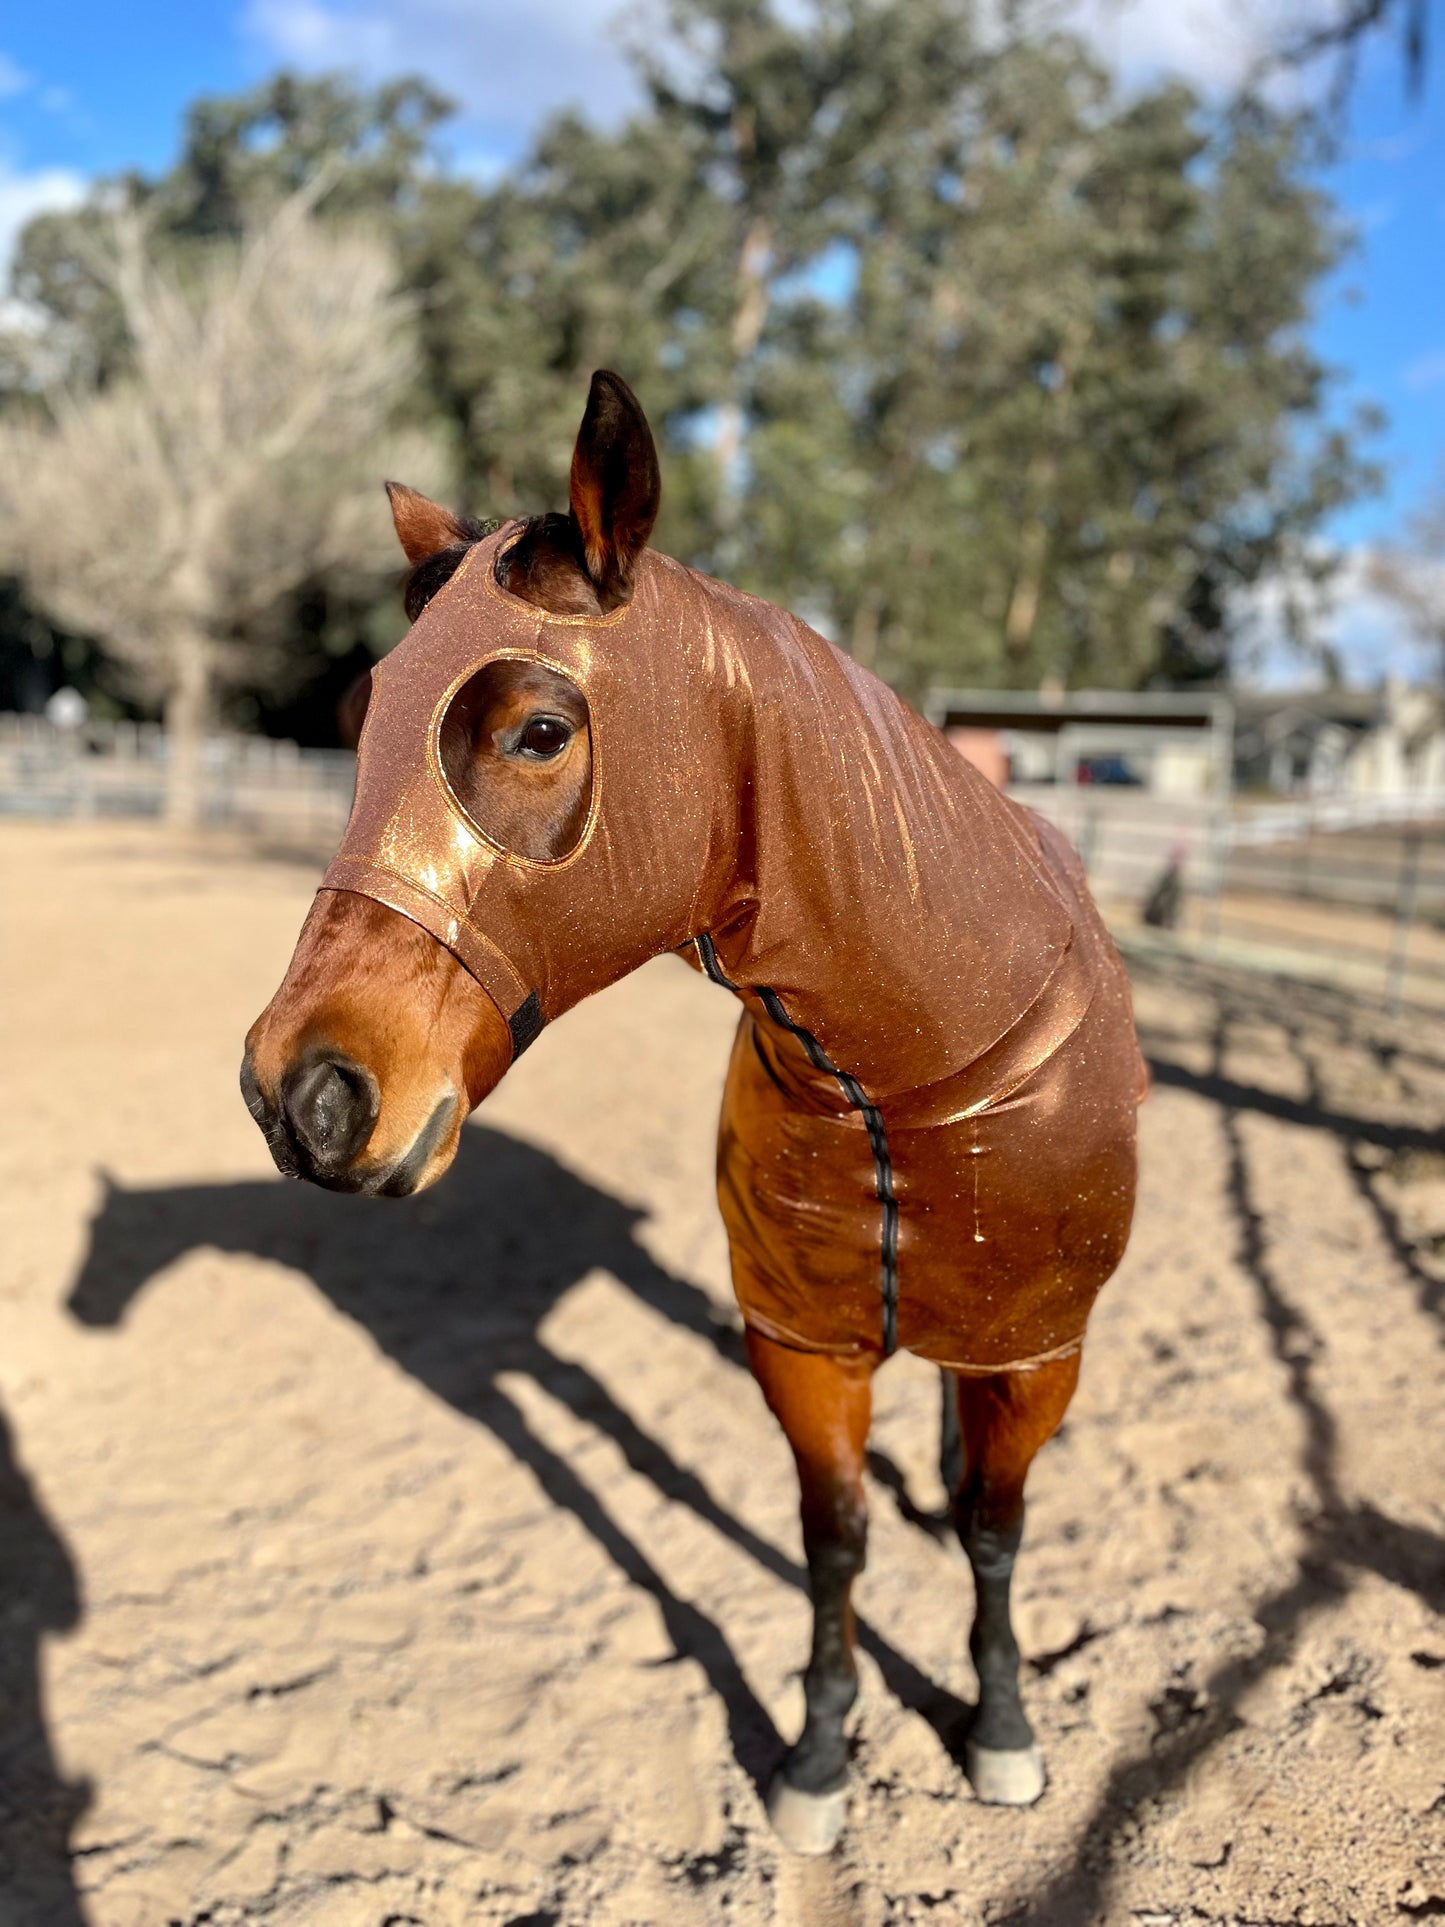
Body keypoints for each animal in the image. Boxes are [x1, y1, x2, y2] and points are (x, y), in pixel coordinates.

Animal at [240, 364, 1140, 1849]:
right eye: (361, 723)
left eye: (539, 730)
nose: (296, 1089)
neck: (911, 1067)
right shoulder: (801, 1338)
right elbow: (832, 1539)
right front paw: (820, 1753)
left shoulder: (1032, 1345)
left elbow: (995, 1530)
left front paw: (1001, 1727)